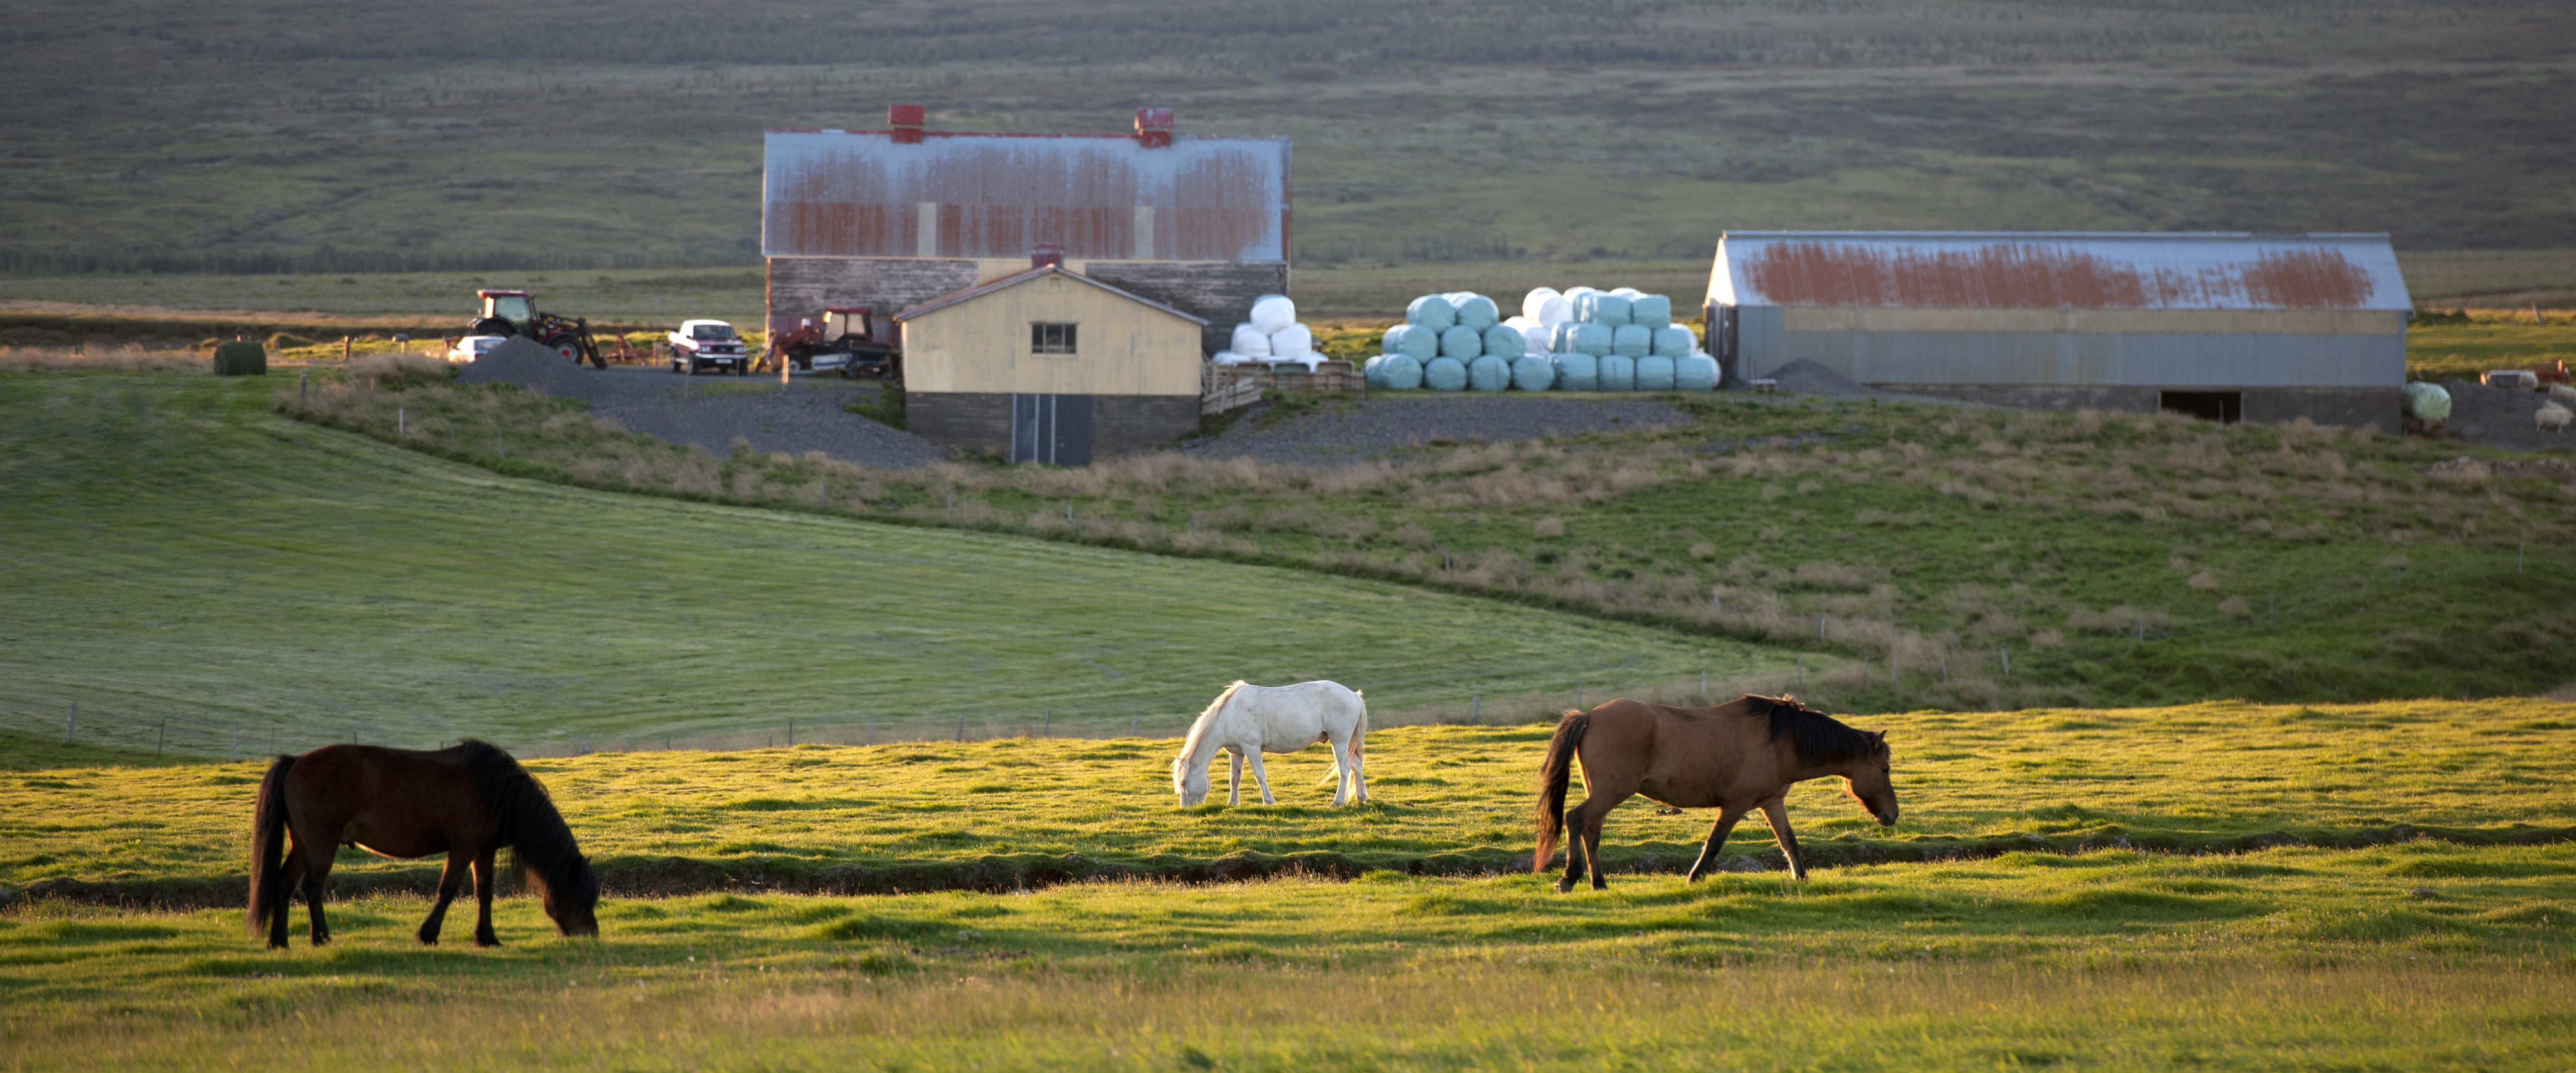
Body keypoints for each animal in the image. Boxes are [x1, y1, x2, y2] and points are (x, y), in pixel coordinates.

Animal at [246, 737, 598, 949]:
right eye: (581, 898)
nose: (591, 935)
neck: (498, 790)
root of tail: (295, 761)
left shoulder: (483, 850)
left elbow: (485, 892)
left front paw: (486, 937)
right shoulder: (463, 848)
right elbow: (448, 890)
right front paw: (428, 934)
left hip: (303, 845)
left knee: (284, 883)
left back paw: (279, 941)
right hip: (322, 844)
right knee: (312, 887)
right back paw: (321, 937)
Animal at [1175, 681, 1370, 804]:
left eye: (1183, 783)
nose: (1186, 808)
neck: (1228, 716)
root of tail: (1354, 695)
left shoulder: (1252, 748)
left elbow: (1260, 776)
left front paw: (1269, 801)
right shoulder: (1236, 752)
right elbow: (1234, 778)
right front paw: (1233, 803)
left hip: (1339, 740)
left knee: (1344, 769)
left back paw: (1338, 802)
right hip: (1347, 743)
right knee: (1356, 766)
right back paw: (1361, 797)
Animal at [1525, 696, 1896, 887]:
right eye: (1885, 769)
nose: (1892, 815)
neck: (1783, 741)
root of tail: (1588, 715)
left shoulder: (1772, 803)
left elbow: (1789, 842)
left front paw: (1801, 878)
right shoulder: (1736, 804)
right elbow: (1715, 842)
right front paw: (1695, 876)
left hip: (1604, 793)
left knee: (1592, 830)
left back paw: (1598, 883)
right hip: (1611, 792)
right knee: (1576, 820)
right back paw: (1570, 877)